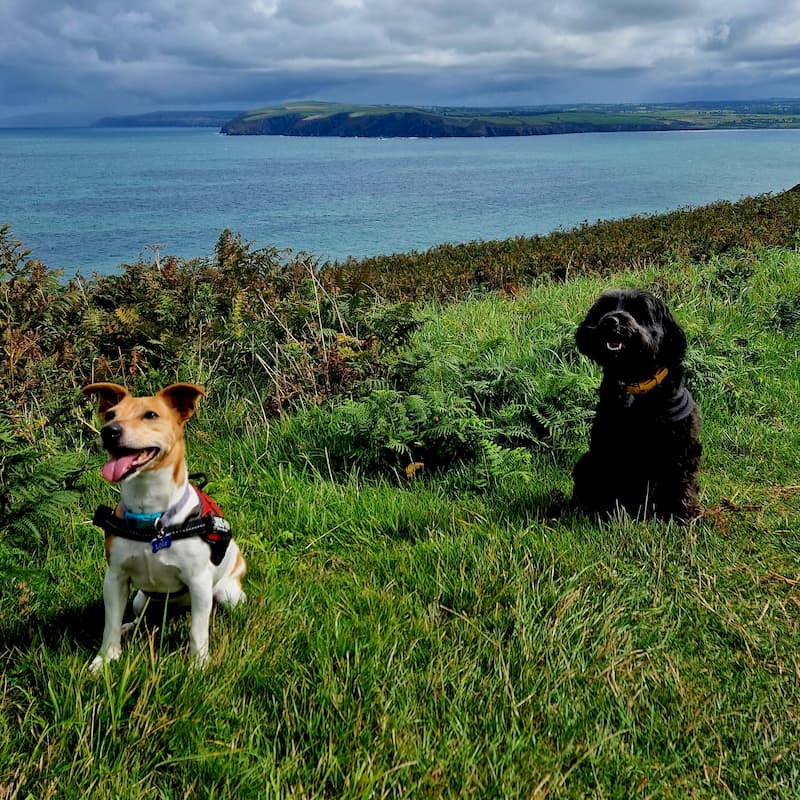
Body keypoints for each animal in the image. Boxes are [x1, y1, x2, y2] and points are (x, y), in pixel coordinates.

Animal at [83, 384, 247, 672]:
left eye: (150, 415)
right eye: (110, 414)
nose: (109, 431)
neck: (152, 517)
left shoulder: (199, 582)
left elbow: (197, 631)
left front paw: (197, 665)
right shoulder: (115, 578)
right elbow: (109, 624)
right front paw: (105, 659)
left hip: (228, 594)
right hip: (141, 599)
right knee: (143, 618)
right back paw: (130, 627)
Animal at [576, 290, 700, 520]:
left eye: (639, 310)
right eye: (605, 308)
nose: (610, 321)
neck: (635, 383)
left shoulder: (682, 446)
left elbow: (680, 481)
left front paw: (680, 514)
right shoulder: (608, 443)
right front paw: (607, 515)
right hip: (586, 463)